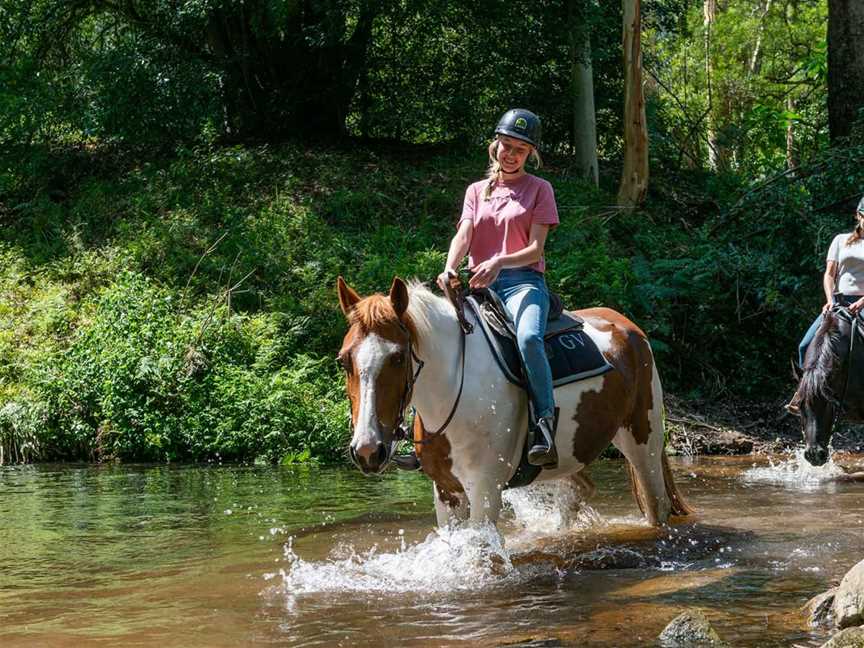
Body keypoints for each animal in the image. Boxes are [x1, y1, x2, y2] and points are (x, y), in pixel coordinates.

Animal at [334, 276, 692, 528]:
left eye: (397, 358)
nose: (367, 450)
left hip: (643, 440)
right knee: (578, 491)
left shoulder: (484, 489)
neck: (453, 390)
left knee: (656, 505)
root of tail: (627, 327)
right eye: (344, 360)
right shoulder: (447, 492)